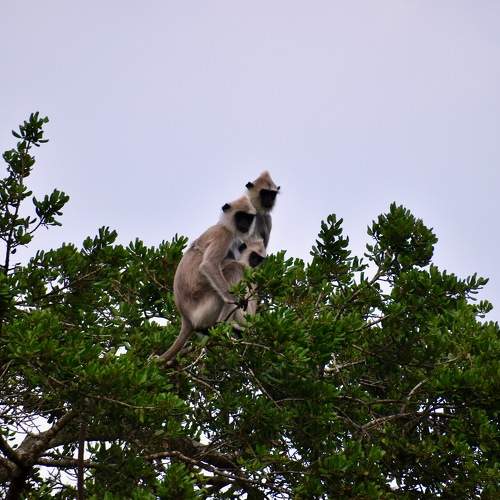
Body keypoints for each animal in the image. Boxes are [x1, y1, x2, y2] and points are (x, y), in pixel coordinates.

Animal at [157, 196, 257, 364]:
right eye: (240, 216)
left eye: (248, 218)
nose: (244, 225)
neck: (222, 224)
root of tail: (186, 318)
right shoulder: (224, 234)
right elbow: (208, 265)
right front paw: (233, 299)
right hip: (205, 307)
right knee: (234, 269)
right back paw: (224, 326)